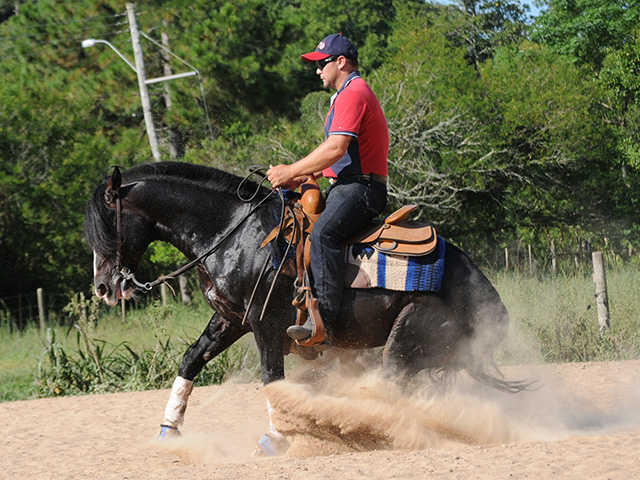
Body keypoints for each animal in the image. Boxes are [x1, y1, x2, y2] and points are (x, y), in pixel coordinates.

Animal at [85, 161, 524, 454]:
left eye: (108, 225)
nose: (104, 288)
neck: (235, 233)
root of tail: (486, 293)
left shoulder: (266, 324)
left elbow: (272, 379)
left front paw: (275, 439)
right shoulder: (229, 319)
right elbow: (191, 361)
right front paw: (168, 432)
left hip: (409, 336)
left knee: (392, 384)